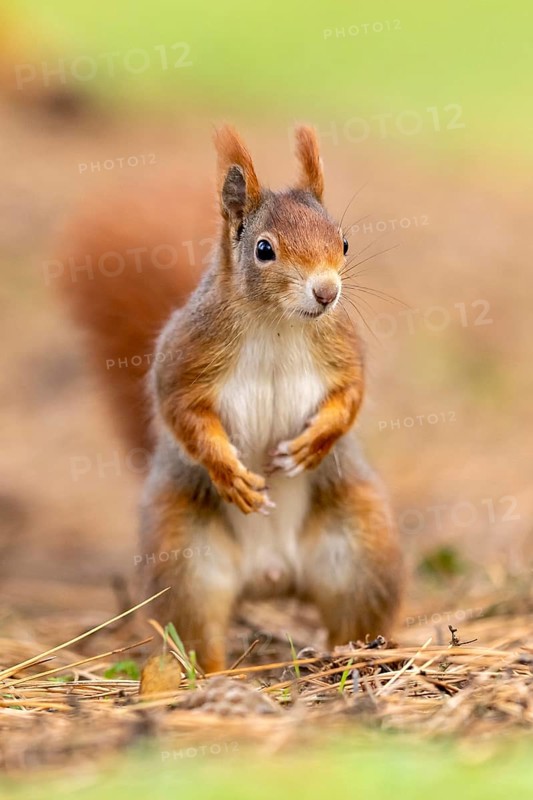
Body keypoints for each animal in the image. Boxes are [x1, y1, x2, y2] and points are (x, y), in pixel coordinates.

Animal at [60, 125, 403, 672]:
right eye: (264, 249)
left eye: (344, 242)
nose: (327, 293)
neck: (278, 325)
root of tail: (271, 574)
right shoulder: (185, 357)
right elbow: (181, 411)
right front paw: (232, 474)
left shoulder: (342, 349)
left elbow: (350, 394)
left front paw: (311, 445)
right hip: (186, 560)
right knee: (195, 632)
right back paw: (212, 676)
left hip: (361, 549)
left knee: (354, 613)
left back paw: (353, 657)